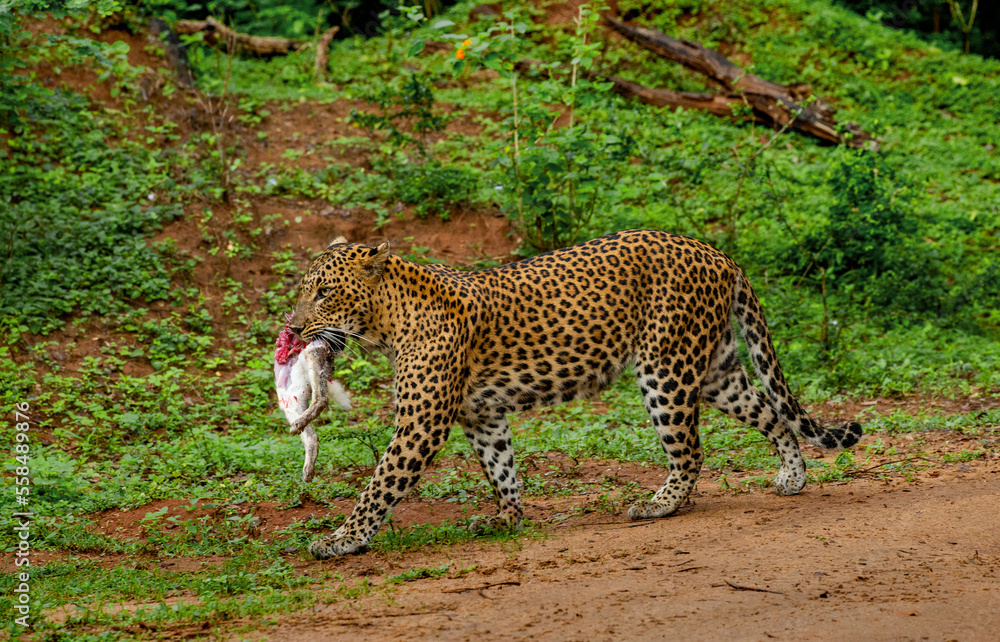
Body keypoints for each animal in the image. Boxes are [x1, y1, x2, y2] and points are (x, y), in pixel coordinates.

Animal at [287, 229, 863, 559]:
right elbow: (502, 468)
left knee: (692, 450)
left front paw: (341, 539)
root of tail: (716, 253)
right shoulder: (482, 414)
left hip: (665, 367)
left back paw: (659, 505)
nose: (291, 329)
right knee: (773, 413)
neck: (386, 321)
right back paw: (793, 477)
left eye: (324, 292)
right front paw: (506, 519)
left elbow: (379, 485)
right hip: (716, 369)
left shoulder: (420, 424)